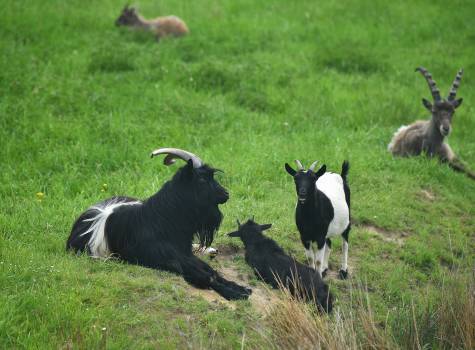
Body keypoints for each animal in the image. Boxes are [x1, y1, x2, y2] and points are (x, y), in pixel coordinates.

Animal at [68, 148, 253, 300]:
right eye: (201, 179)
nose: (226, 194)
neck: (161, 221)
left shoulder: (184, 254)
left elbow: (211, 271)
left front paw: (240, 288)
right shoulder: (167, 259)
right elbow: (204, 275)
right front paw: (237, 293)